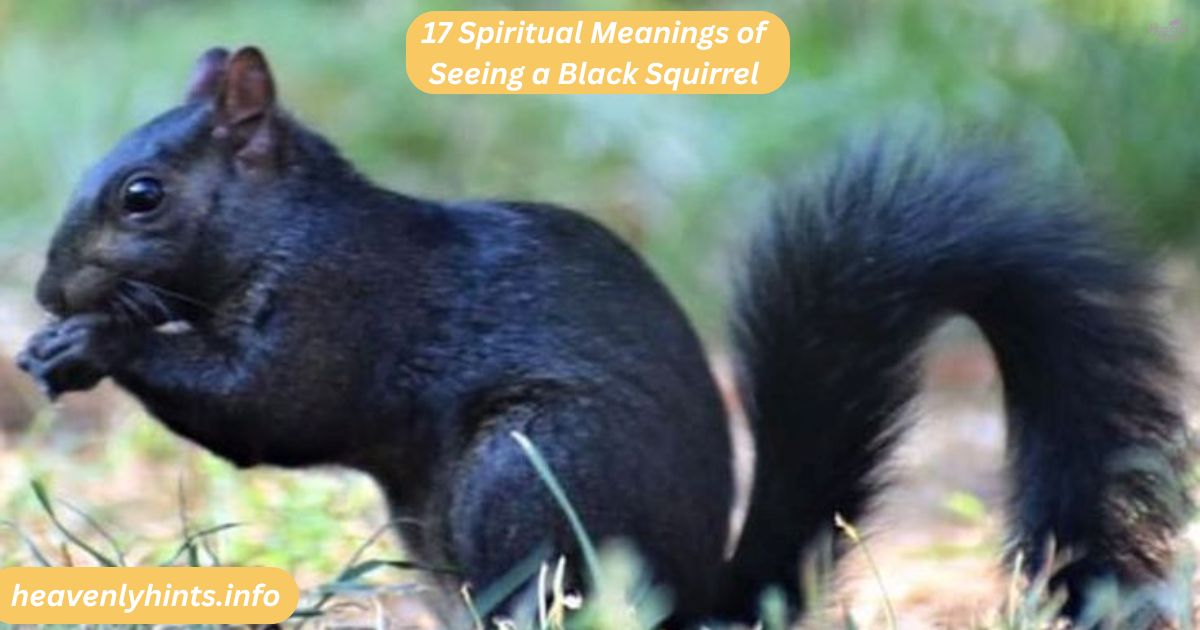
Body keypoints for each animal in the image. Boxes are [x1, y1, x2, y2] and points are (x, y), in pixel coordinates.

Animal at [15, 46, 1192, 626]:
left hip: (528, 474)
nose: (45, 286)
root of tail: (702, 608)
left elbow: (271, 407)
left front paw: (95, 342)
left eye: (141, 196)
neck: (290, 225)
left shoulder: (341, 307)